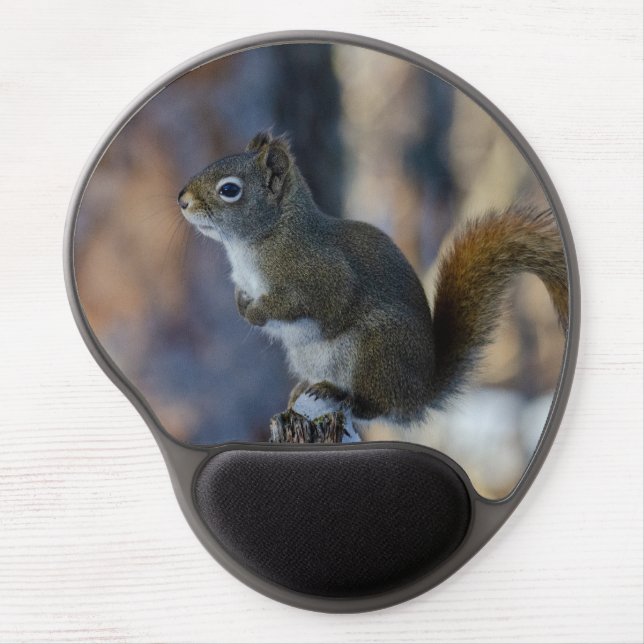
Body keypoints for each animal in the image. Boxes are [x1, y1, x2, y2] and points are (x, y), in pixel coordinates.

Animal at [178, 131, 569, 431]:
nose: (181, 200)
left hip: (376, 347)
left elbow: (311, 302)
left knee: (376, 406)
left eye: (230, 190)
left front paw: (256, 313)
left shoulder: (321, 275)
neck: (259, 240)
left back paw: (340, 395)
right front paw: (241, 304)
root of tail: (419, 393)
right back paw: (304, 390)